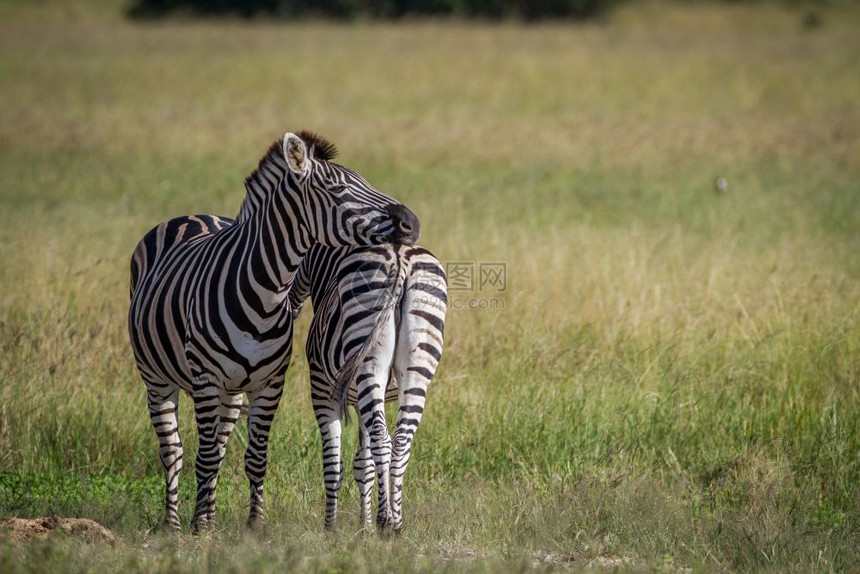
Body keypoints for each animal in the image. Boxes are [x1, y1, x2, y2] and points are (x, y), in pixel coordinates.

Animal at [127, 132, 420, 536]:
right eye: (340, 188)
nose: (412, 222)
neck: (264, 293)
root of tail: (191, 215)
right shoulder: (206, 378)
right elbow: (203, 456)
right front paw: (200, 529)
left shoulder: (268, 383)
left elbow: (255, 457)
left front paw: (253, 523)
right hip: (157, 378)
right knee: (174, 451)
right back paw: (174, 523)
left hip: (233, 391)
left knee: (217, 448)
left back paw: (206, 514)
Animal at [290, 244, 446, 536]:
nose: (289, 308)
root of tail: (400, 256)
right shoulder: (364, 398)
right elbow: (364, 465)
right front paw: (366, 527)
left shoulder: (321, 388)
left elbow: (334, 463)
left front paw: (331, 527)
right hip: (415, 364)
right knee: (400, 441)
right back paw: (396, 522)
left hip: (368, 360)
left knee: (383, 440)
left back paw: (386, 520)